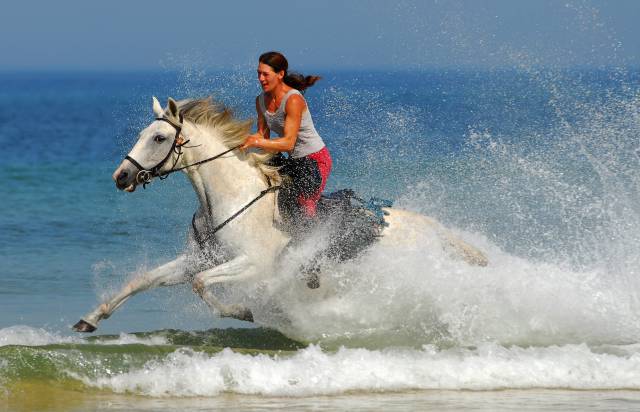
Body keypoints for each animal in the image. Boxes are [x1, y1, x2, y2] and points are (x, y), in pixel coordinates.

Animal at [72, 96, 488, 332]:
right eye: (142, 134)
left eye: (158, 138)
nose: (121, 176)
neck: (228, 199)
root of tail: (434, 228)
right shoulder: (198, 259)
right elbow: (142, 281)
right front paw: (89, 319)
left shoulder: (252, 264)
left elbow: (202, 285)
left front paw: (243, 311)